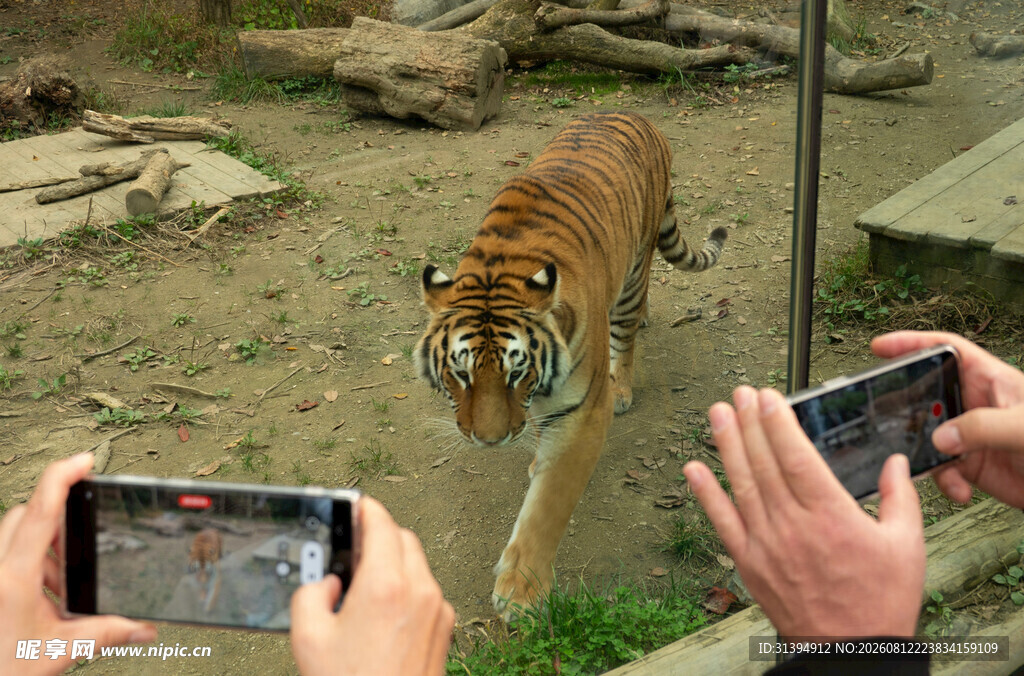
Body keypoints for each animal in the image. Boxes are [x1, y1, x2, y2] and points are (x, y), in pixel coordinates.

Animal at [415, 111, 726, 618]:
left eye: (516, 373)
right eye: (460, 374)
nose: (489, 441)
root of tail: (637, 115)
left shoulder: (583, 412)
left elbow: (548, 505)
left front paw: (521, 594)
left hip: (632, 275)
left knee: (627, 331)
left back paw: (623, 385)